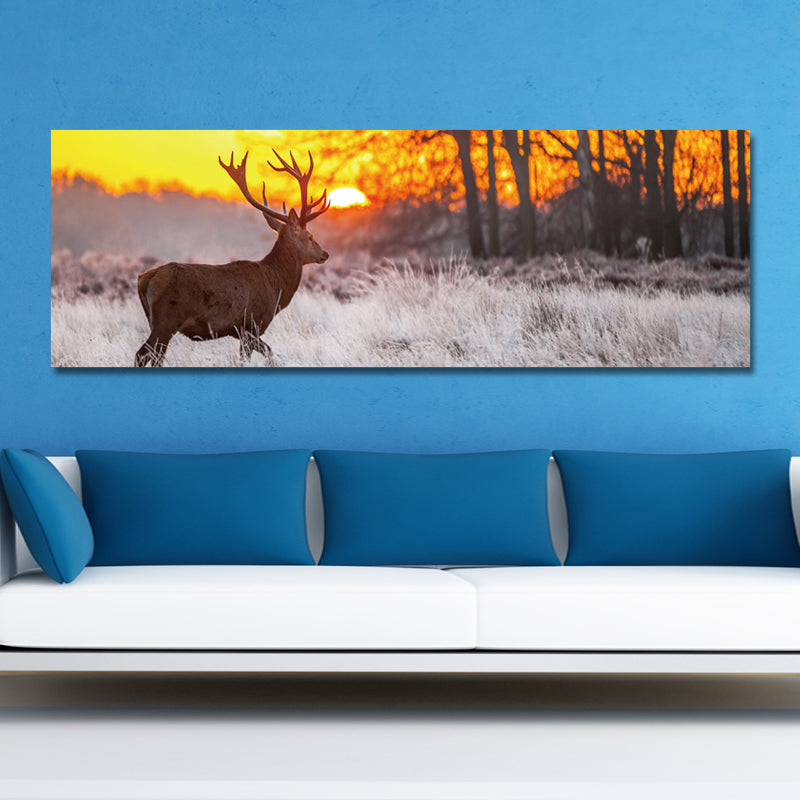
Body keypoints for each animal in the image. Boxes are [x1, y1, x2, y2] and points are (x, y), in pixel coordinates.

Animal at [134, 149, 331, 367]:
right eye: (310, 236)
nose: (324, 254)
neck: (275, 285)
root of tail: (144, 279)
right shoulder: (251, 324)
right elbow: (265, 354)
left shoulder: (241, 331)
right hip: (166, 320)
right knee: (143, 354)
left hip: (155, 321)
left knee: (153, 355)